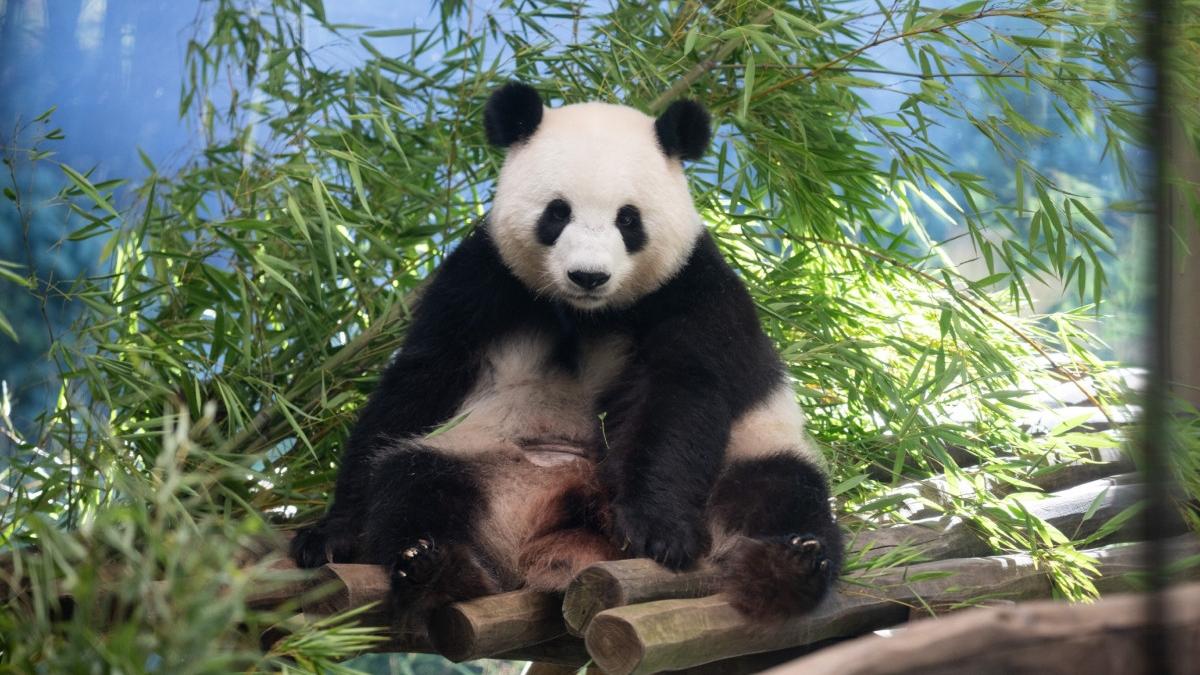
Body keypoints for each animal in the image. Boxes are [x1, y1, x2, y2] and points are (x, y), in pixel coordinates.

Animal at [291, 82, 843, 624]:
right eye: (557, 213)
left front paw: (659, 531)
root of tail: (561, 535)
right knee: (413, 482)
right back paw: (433, 567)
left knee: (781, 493)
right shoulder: (482, 278)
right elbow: (422, 378)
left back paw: (788, 566)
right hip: (484, 463)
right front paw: (330, 533)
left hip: (751, 453)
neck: (587, 313)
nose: (588, 276)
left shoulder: (691, 288)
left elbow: (679, 392)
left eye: (628, 220)